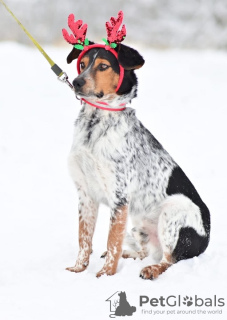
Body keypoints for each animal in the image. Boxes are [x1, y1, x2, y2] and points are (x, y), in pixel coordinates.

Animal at [63, 12, 210, 278]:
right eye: (82, 64)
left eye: (103, 66)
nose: (77, 82)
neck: (94, 127)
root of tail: (206, 240)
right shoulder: (85, 194)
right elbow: (84, 239)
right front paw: (79, 269)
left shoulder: (119, 197)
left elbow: (112, 239)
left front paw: (105, 276)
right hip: (138, 225)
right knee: (146, 250)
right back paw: (131, 254)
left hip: (173, 210)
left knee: (169, 259)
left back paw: (151, 269)